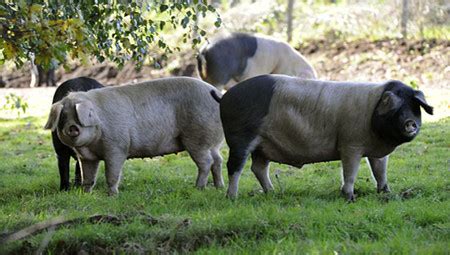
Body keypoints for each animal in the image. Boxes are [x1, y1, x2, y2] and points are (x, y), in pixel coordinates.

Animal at [44, 76, 224, 194]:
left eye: (79, 116)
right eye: (63, 117)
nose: (72, 127)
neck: (91, 145)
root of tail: (219, 95)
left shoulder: (117, 147)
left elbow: (112, 173)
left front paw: (112, 195)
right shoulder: (87, 157)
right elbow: (87, 176)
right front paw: (86, 194)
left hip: (197, 137)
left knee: (206, 162)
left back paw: (198, 188)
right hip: (212, 142)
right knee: (218, 160)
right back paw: (219, 187)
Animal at [216, 74, 434, 202]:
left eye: (413, 106)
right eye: (395, 107)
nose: (410, 122)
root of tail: (224, 97)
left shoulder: (377, 151)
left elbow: (380, 171)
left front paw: (386, 192)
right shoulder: (350, 144)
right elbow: (350, 172)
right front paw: (350, 198)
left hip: (262, 145)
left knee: (258, 168)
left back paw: (273, 192)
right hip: (240, 137)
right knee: (235, 166)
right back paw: (232, 198)